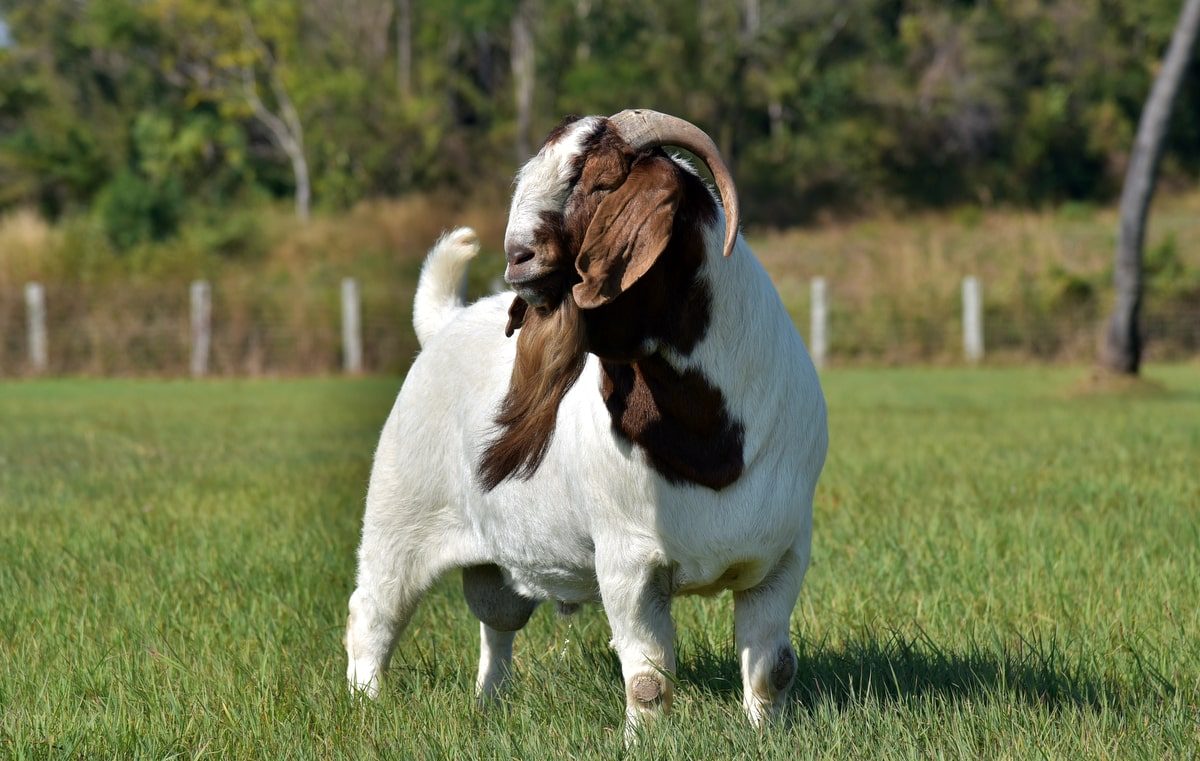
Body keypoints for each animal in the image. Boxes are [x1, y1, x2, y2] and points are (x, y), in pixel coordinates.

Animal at [338, 109, 825, 729]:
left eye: (600, 183)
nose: (516, 257)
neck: (708, 444)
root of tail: (443, 323)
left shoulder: (783, 556)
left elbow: (771, 669)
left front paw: (765, 733)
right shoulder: (627, 562)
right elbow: (648, 680)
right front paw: (646, 740)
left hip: (495, 556)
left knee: (496, 618)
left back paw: (491, 702)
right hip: (398, 518)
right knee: (373, 613)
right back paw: (365, 706)